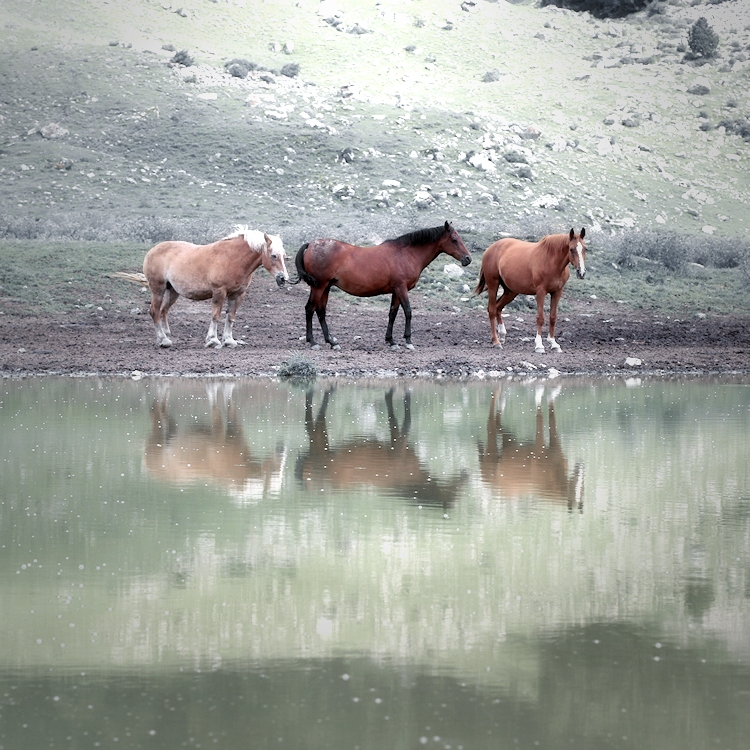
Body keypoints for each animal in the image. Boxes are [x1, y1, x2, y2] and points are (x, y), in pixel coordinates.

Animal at [113, 226, 290, 350]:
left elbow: (230, 317)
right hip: (158, 289)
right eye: (273, 255)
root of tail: (152, 251)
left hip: (172, 292)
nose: (283, 278)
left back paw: (166, 335)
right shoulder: (219, 292)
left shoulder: (238, 294)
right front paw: (212, 340)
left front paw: (229, 340)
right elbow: (216, 316)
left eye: (284, 256)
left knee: (163, 311)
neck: (232, 258)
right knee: (155, 312)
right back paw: (163, 340)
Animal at [144, 384, 288, 508]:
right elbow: (215, 401)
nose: (281, 448)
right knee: (156, 409)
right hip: (157, 436)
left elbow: (228, 399)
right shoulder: (217, 436)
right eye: (273, 469)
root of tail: (147, 466)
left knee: (163, 409)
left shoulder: (233, 430)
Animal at [292, 222, 470, 352]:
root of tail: (311, 244)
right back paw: (313, 342)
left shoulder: (396, 291)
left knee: (320, 312)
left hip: (326, 287)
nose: (468, 259)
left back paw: (331, 342)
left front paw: (391, 341)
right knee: (310, 309)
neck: (406, 254)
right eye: (454, 240)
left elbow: (392, 313)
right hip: (319, 286)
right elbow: (408, 312)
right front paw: (408, 340)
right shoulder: (401, 288)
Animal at [296, 390, 468, 508]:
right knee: (314, 422)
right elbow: (407, 418)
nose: (464, 475)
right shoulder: (400, 445)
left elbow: (391, 408)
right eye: (454, 496)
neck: (410, 477)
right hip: (321, 447)